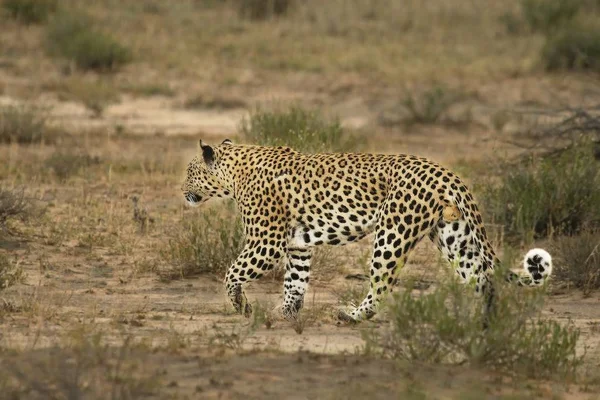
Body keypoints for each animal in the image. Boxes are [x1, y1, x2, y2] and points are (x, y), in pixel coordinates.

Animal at [179, 139, 552, 324]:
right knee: (483, 280)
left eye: (190, 171)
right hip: (453, 236)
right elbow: (295, 282)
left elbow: (231, 273)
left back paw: (352, 316)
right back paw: (487, 324)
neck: (235, 171)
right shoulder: (298, 244)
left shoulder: (265, 243)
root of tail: (445, 172)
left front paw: (242, 306)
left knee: (382, 283)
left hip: (391, 233)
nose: (181, 190)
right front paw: (286, 312)